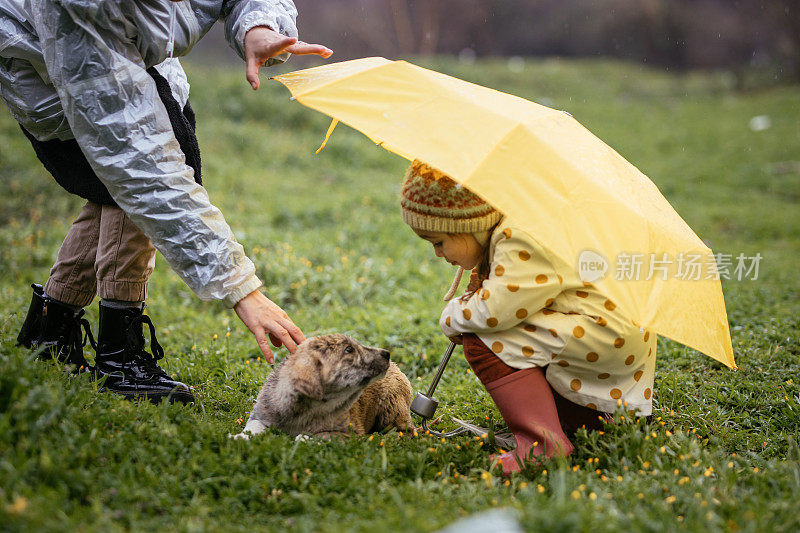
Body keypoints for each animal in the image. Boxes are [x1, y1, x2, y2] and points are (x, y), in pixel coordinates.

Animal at [233, 334, 412, 438]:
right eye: (348, 350)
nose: (387, 354)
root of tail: (396, 367)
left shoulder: (348, 432)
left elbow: (320, 435)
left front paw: (303, 438)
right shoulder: (261, 414)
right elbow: (253, 427)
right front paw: (239, 438)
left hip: (392, 408)